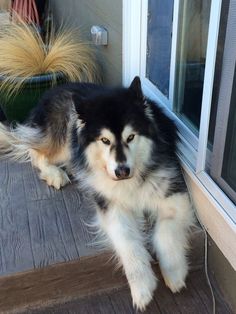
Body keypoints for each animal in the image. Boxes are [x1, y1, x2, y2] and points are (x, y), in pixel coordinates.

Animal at [0, 77, 194, 310]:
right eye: (105, 140)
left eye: (131, 137)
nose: (122, 171)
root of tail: (55, 88)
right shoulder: (111, 207)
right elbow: (128, 243)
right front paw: (142, 286)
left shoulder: (175, 195)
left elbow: (164, 233)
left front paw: (174, 273)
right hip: (65, 134)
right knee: (35, 151)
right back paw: (54, 173)